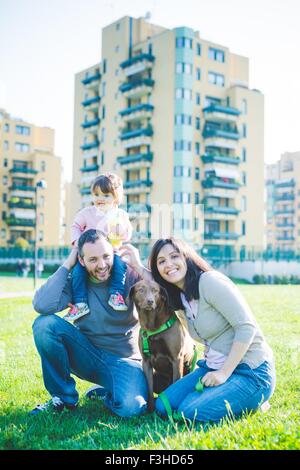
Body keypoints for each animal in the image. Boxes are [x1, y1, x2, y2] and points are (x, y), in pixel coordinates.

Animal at [129, 280, 196, 412]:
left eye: (155, 290)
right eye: (141, 290)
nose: (150, 301)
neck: (152, 327)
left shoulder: (177, 359)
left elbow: (176, 382)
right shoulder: (146, 362)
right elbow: (149, 388)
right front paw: (150, 409)